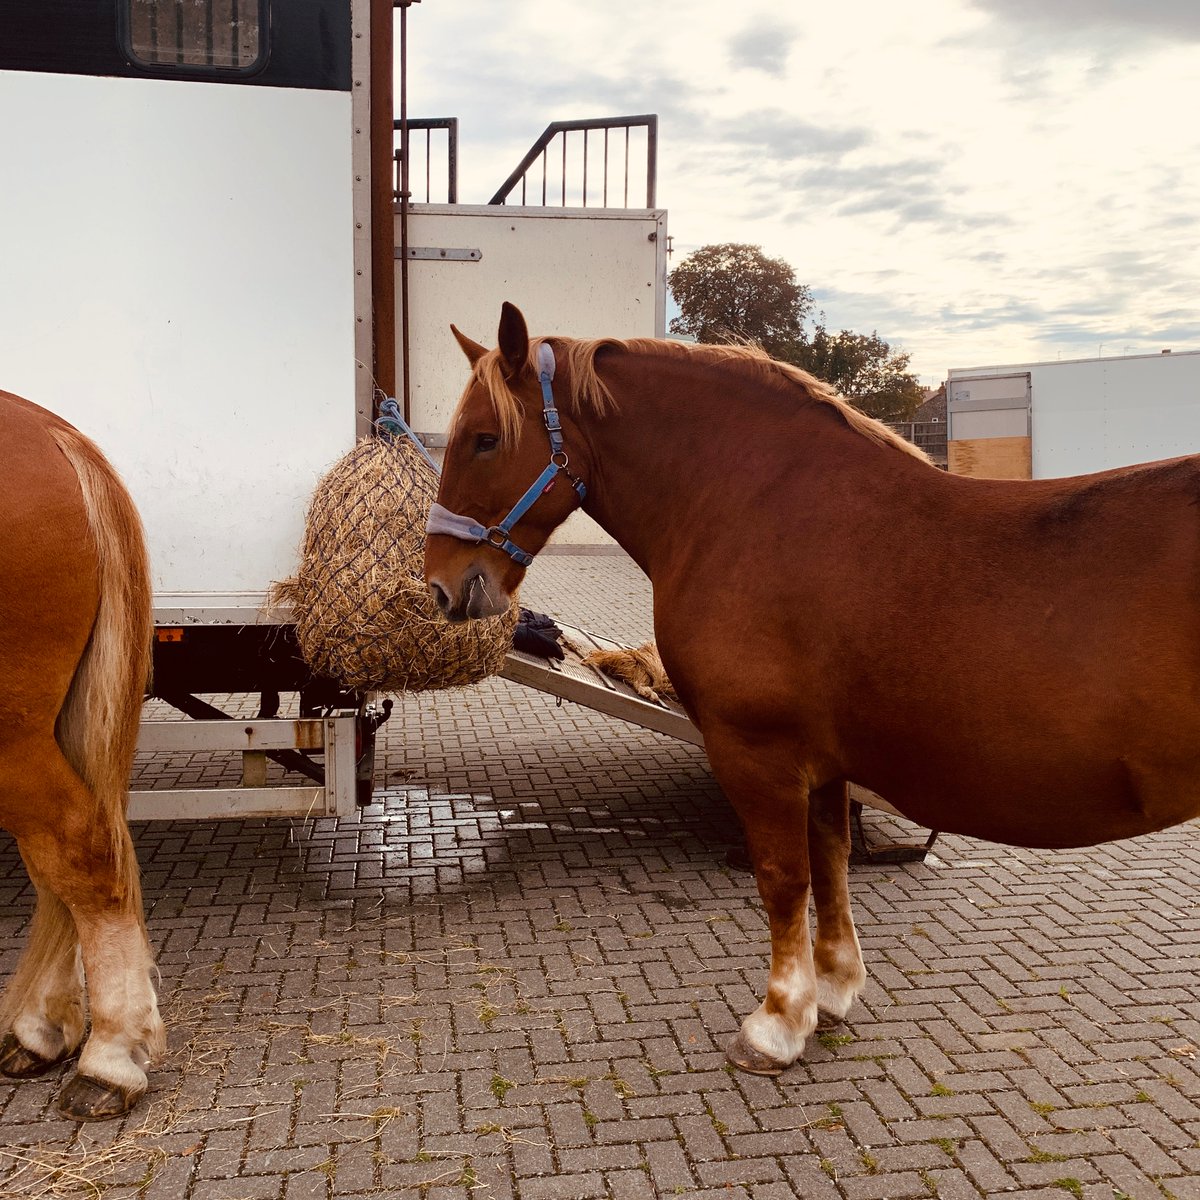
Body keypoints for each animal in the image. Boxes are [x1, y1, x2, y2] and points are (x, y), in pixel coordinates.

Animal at [425, 302, 1200, 1078]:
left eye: (486, 439)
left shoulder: (758, 752)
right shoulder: (825, 762)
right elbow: (830, 862)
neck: (757, 505)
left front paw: (777, 1022)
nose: (441, 586)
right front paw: (832, 987)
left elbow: (782, 876)